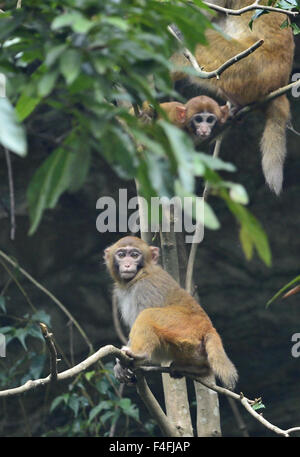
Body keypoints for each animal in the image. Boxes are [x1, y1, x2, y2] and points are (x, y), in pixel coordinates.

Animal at [104, 235, 238, 388]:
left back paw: (139, 354)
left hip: (182, 327)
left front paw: (124, 362)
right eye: (121, 255)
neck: (140, 275)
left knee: (147, 314)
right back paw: (197, 368)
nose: (127, 265)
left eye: (134, 255)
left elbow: (143, 312)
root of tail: (208, 327)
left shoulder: (145, 289)